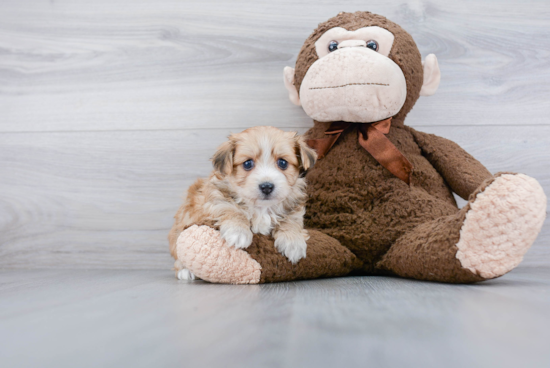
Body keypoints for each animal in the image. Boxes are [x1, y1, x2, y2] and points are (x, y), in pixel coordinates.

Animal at [169, 126, 320, 274]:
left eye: (282, 163)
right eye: (248, 164)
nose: (266, 187)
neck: (261, 208)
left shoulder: (294, 208)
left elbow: (291, 221)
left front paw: (293, 242)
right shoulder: (215, 199)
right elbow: (230, 209)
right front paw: (238, 232)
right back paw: (185, 271)